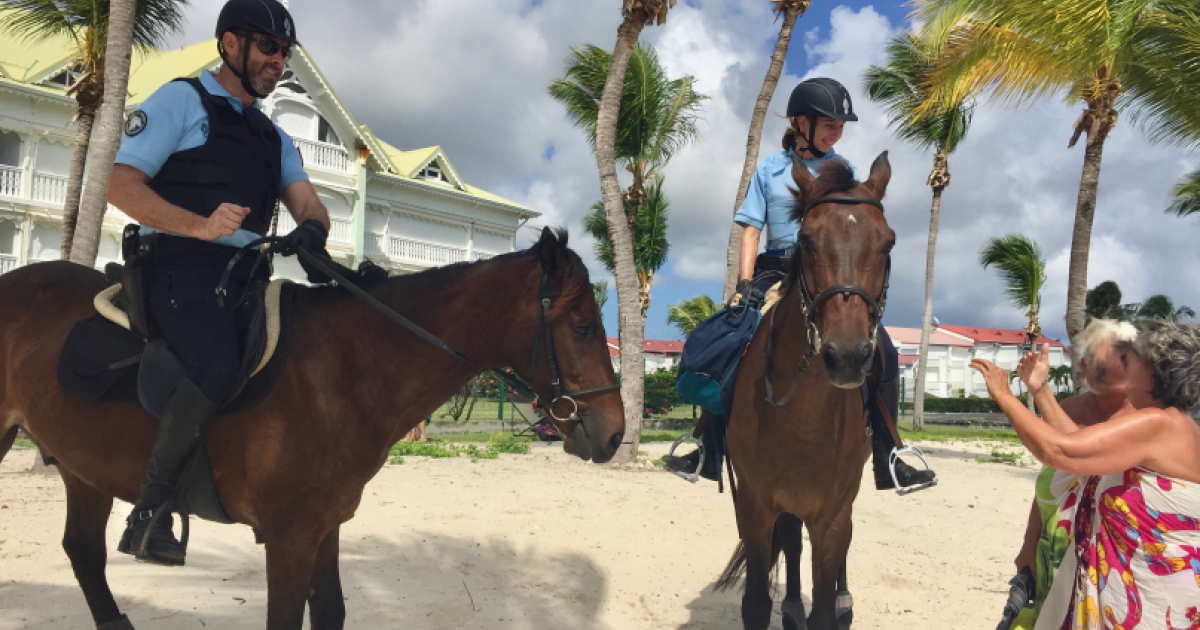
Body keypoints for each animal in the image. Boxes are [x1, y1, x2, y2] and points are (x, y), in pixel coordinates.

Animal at [0, 226, 624, 628]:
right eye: (583, 327)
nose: (616, 432)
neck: (345, 368)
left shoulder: (324, 529)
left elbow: (330, 614)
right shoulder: (290, 536)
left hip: (85, 470)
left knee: (84, 552)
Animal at [710, 153, 892, 628]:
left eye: (888, 243)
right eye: (807, 241)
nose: (846, 356)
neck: (803, 416)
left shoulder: (832, 515)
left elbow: (825, 607)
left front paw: (834, 604)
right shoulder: (755, 507)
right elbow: (756, 603)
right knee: (792, 541)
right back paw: (791, 605)